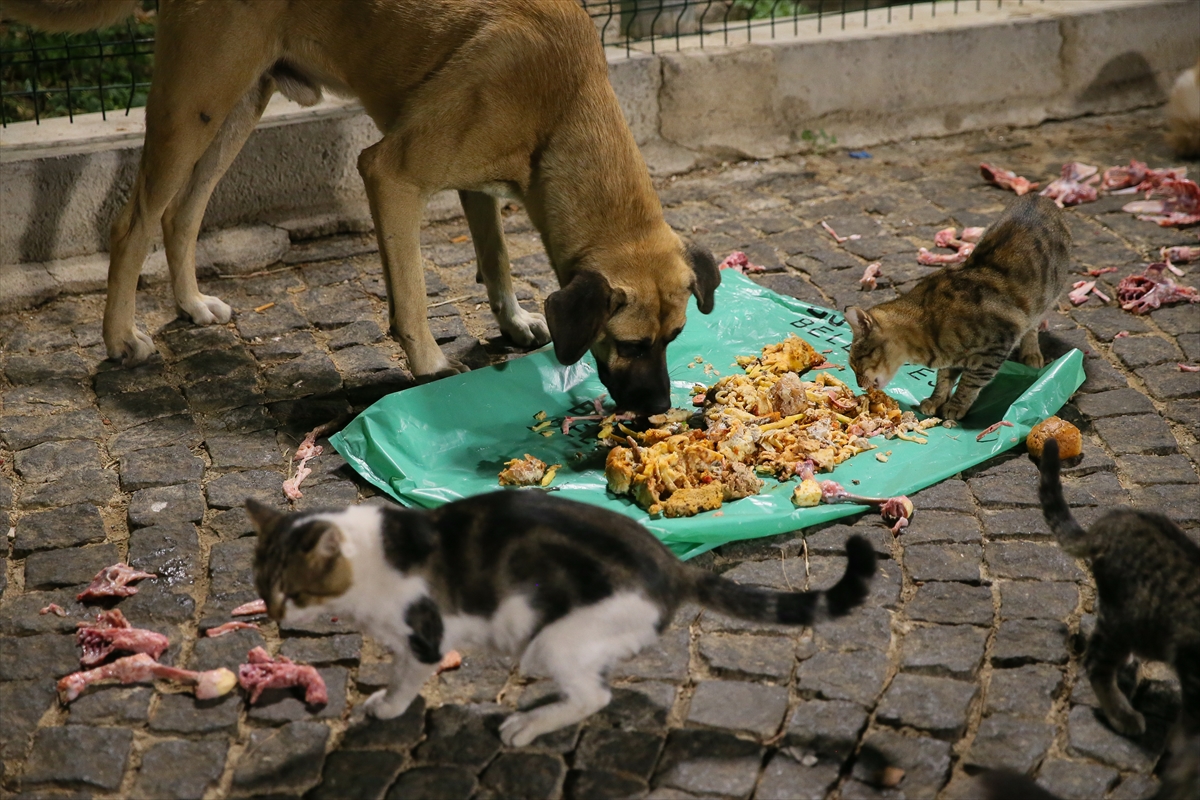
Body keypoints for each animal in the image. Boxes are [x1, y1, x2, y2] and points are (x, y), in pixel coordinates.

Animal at [4, 0, 715, 412]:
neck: (563, 98)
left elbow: (497, 260)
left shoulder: (477, 184)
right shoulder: (391, 173)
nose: (659, 410)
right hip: (192, 108)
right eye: (629, 344)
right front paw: (429, 365)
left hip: (237, 108)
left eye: (676, 338)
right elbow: (414, 291)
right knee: (133, 222)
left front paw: (513, 321)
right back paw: (122, 338)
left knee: (182, 214)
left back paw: (191, 305)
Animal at [248, 491, 878, 748]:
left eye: (292, 590)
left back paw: (527, 725)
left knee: (593, 698)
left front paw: (387, 706)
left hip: (553, 641)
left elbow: (406, 678)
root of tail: (672, 564)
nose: (274, 614)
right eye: (260, 585)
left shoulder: (425, 636)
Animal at [844, 193, 1070, 419]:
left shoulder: (995, 348)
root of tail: (1038, 196)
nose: (859, 385)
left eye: (855, 363)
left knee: (1034, 325)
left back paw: (1031, 353)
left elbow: (969, 383)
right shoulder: (951, 357)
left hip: (1048, 296)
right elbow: (944, 378)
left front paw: (955, 406)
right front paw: (936, 400)